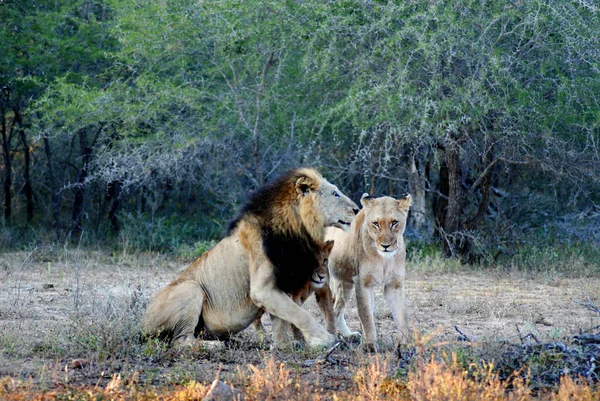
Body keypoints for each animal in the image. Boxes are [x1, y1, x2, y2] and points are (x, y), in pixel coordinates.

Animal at [142, 167, 356, 348]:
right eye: (335, 193)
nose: (356, 209)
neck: (297, 229)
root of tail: (142, 324)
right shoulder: (262, 289)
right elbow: (300, 314)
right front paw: (325, 340)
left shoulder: (283, 285)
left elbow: (283, 319)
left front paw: (283, 345)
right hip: (190, 288)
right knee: (180, 341)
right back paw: (215, 345)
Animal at [324, 194, 412, 350]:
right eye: (376, 223)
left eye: (394, 222)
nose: (385, 246)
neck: (384, 258)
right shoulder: (363, 282)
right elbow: (366, 315)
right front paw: (370, 345)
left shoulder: (394, 284)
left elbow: (402, 315)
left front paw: (404, 345)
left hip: (344, 283)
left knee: (336, 309)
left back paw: (348, 336)